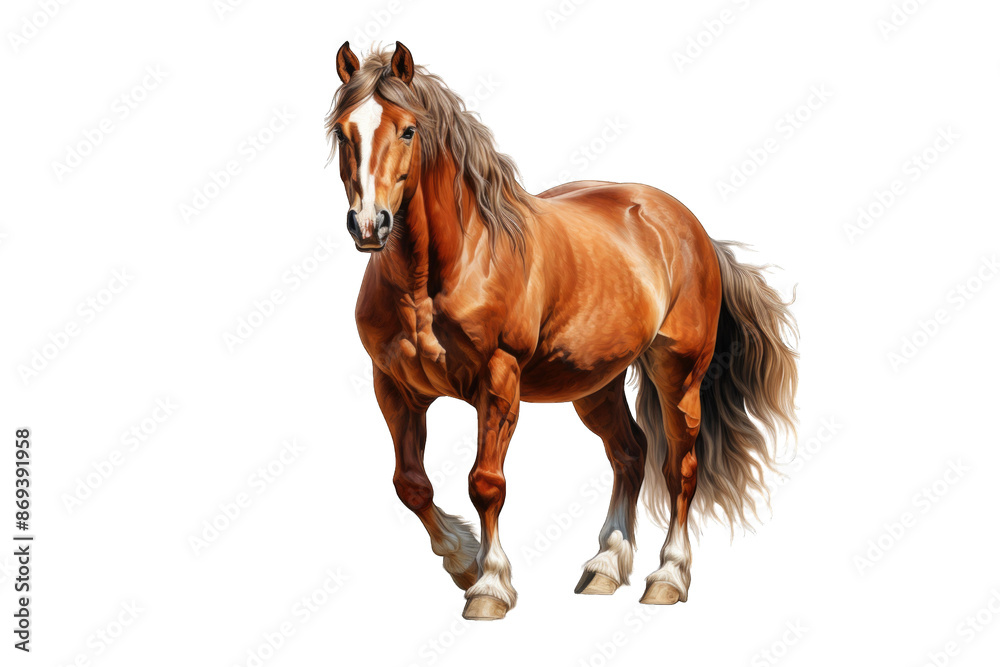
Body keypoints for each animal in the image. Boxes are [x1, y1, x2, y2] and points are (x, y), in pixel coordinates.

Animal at [327, 41, 798, 621]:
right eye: (343, 131)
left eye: (409, 130)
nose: (370, 225)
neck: (441, 272)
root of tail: (691, 228)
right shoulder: (393, 387)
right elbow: (410, 485)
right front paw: (461, 560)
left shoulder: (499, 381)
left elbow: (486, 484)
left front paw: (490, 584)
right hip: (595, 383)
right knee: (630, 454)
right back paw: (604, 567)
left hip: (680, 375)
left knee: (679, 467)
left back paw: (667, 577)